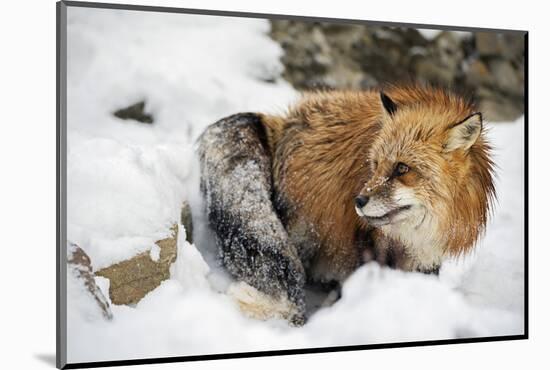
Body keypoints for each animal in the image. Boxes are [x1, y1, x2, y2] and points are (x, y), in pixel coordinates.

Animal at [201, 84, 498, 324]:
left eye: (402, 168)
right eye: (375, 165)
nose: (359, 200)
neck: (411, 238)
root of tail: (284, 120)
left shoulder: (426, 259)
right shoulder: (366, 244)